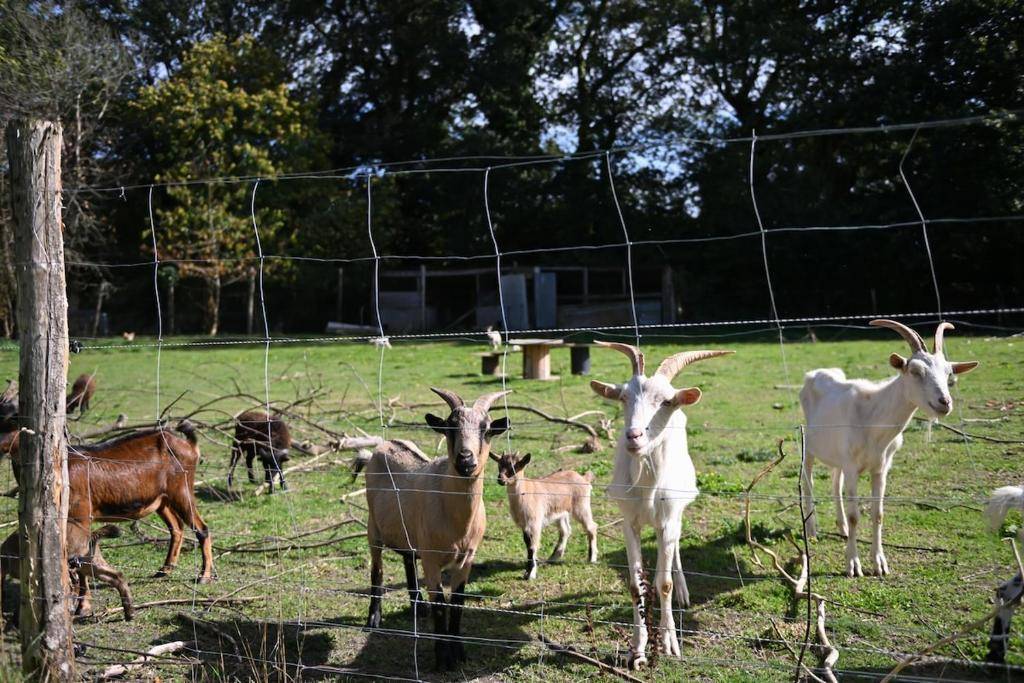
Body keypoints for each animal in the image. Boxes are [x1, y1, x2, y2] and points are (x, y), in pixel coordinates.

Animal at [1, 523, 133, 622]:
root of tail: (89, 535)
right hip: (91, 563)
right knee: (117, 576)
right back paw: (129, 613)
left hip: (75, 563)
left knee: (75, 585)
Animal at [353, 387, 510, 671]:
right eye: (450, 426)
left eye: (486, 429)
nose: (466, 459)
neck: (457, 522)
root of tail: (379, 448)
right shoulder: (432, 558)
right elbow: (440, 605)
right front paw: (442, 658)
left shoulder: (467, 558)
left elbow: (457, 603)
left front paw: (459, 653)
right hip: (373, 529)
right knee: (377, 571)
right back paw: (374, 619)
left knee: (407, 560)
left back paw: (418, 607)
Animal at [493, 451, 597, 580]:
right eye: (499, 465)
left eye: (514, 467)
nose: (501, 479)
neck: (525, 492)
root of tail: (584, 478)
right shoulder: (525, 524)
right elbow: (528, 543)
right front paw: (528, 571)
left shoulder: (534, 522)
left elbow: (532, 546)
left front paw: (530, 574)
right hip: (561, 513)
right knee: (565, 530)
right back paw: (553, 558)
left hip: (581, 506)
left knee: (591, 526)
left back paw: (592, 558)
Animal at [590, 342, 733, 668]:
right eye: (623, 397)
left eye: (666, 401)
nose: (634, 436)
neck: (646, 485)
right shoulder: (628, 522)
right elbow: (636, 585)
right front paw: (637, 649)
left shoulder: (668, 518)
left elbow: (663, 583)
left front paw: (670, 643)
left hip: (675, 513)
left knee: (674, 549)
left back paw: (682, 592)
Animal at [800, 319, 978, 577]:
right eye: (915, 371)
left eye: (948, 373)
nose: (944, 402)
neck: (873, 417)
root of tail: (814, 374)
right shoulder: (853, 467)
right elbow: (855, 516)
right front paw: (853, 564)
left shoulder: (881, 467)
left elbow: (878, 514)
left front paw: (880, 563)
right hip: (809, 447)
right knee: (808, 482)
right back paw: (812, 531)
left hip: (838, 456)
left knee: (835, 482)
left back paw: (841, 527)